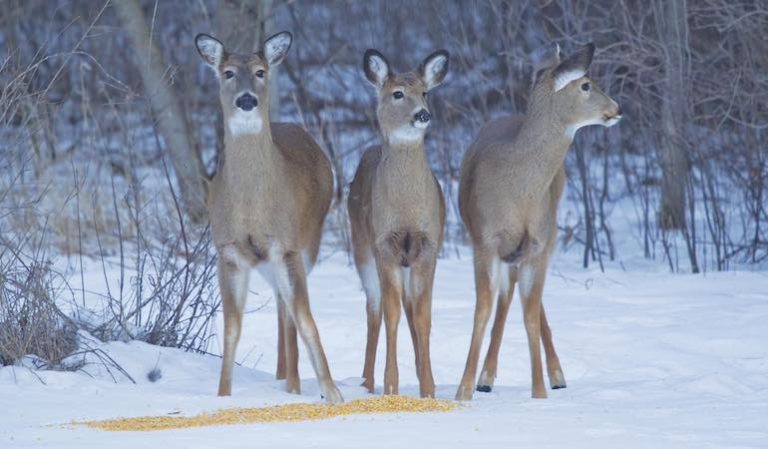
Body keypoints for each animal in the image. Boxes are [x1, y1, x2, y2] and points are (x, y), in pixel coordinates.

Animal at [196, 31, 344, 402]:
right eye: (228, 72)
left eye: (261, 71)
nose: (247, 100)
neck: (253, 208)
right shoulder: (229, 251)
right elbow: (232, 328)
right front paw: (223, 395)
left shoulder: (287, 245)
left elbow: (305, 318)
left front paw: (332, 391)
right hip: (266, 262)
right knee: (280, 304)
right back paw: (283, 378)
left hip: (309, 242)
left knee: (289, 309)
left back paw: (293, 384)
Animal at [348, 48, 450, 396]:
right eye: (397, 93)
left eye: (426, 92)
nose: (423, 115)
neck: (407, 210)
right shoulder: (384, 246)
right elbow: (391, 316)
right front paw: (391, 386)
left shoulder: (428, 246)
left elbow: (423, 317)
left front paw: (429, 389)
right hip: (361, 249)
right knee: (375, 310)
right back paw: (367, 381)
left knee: (407, 307)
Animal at [456, 43, 624, 400]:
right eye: (586, 84)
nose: (617, 108)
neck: (518, 189)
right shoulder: (484, 240)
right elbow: (483, 308)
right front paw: (463, 390)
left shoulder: (536, 242)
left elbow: (530, 314)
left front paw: (539, 393)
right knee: (508, 295)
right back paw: (485, 378)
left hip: (546, 234)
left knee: (525, 299)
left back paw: (554, 375)